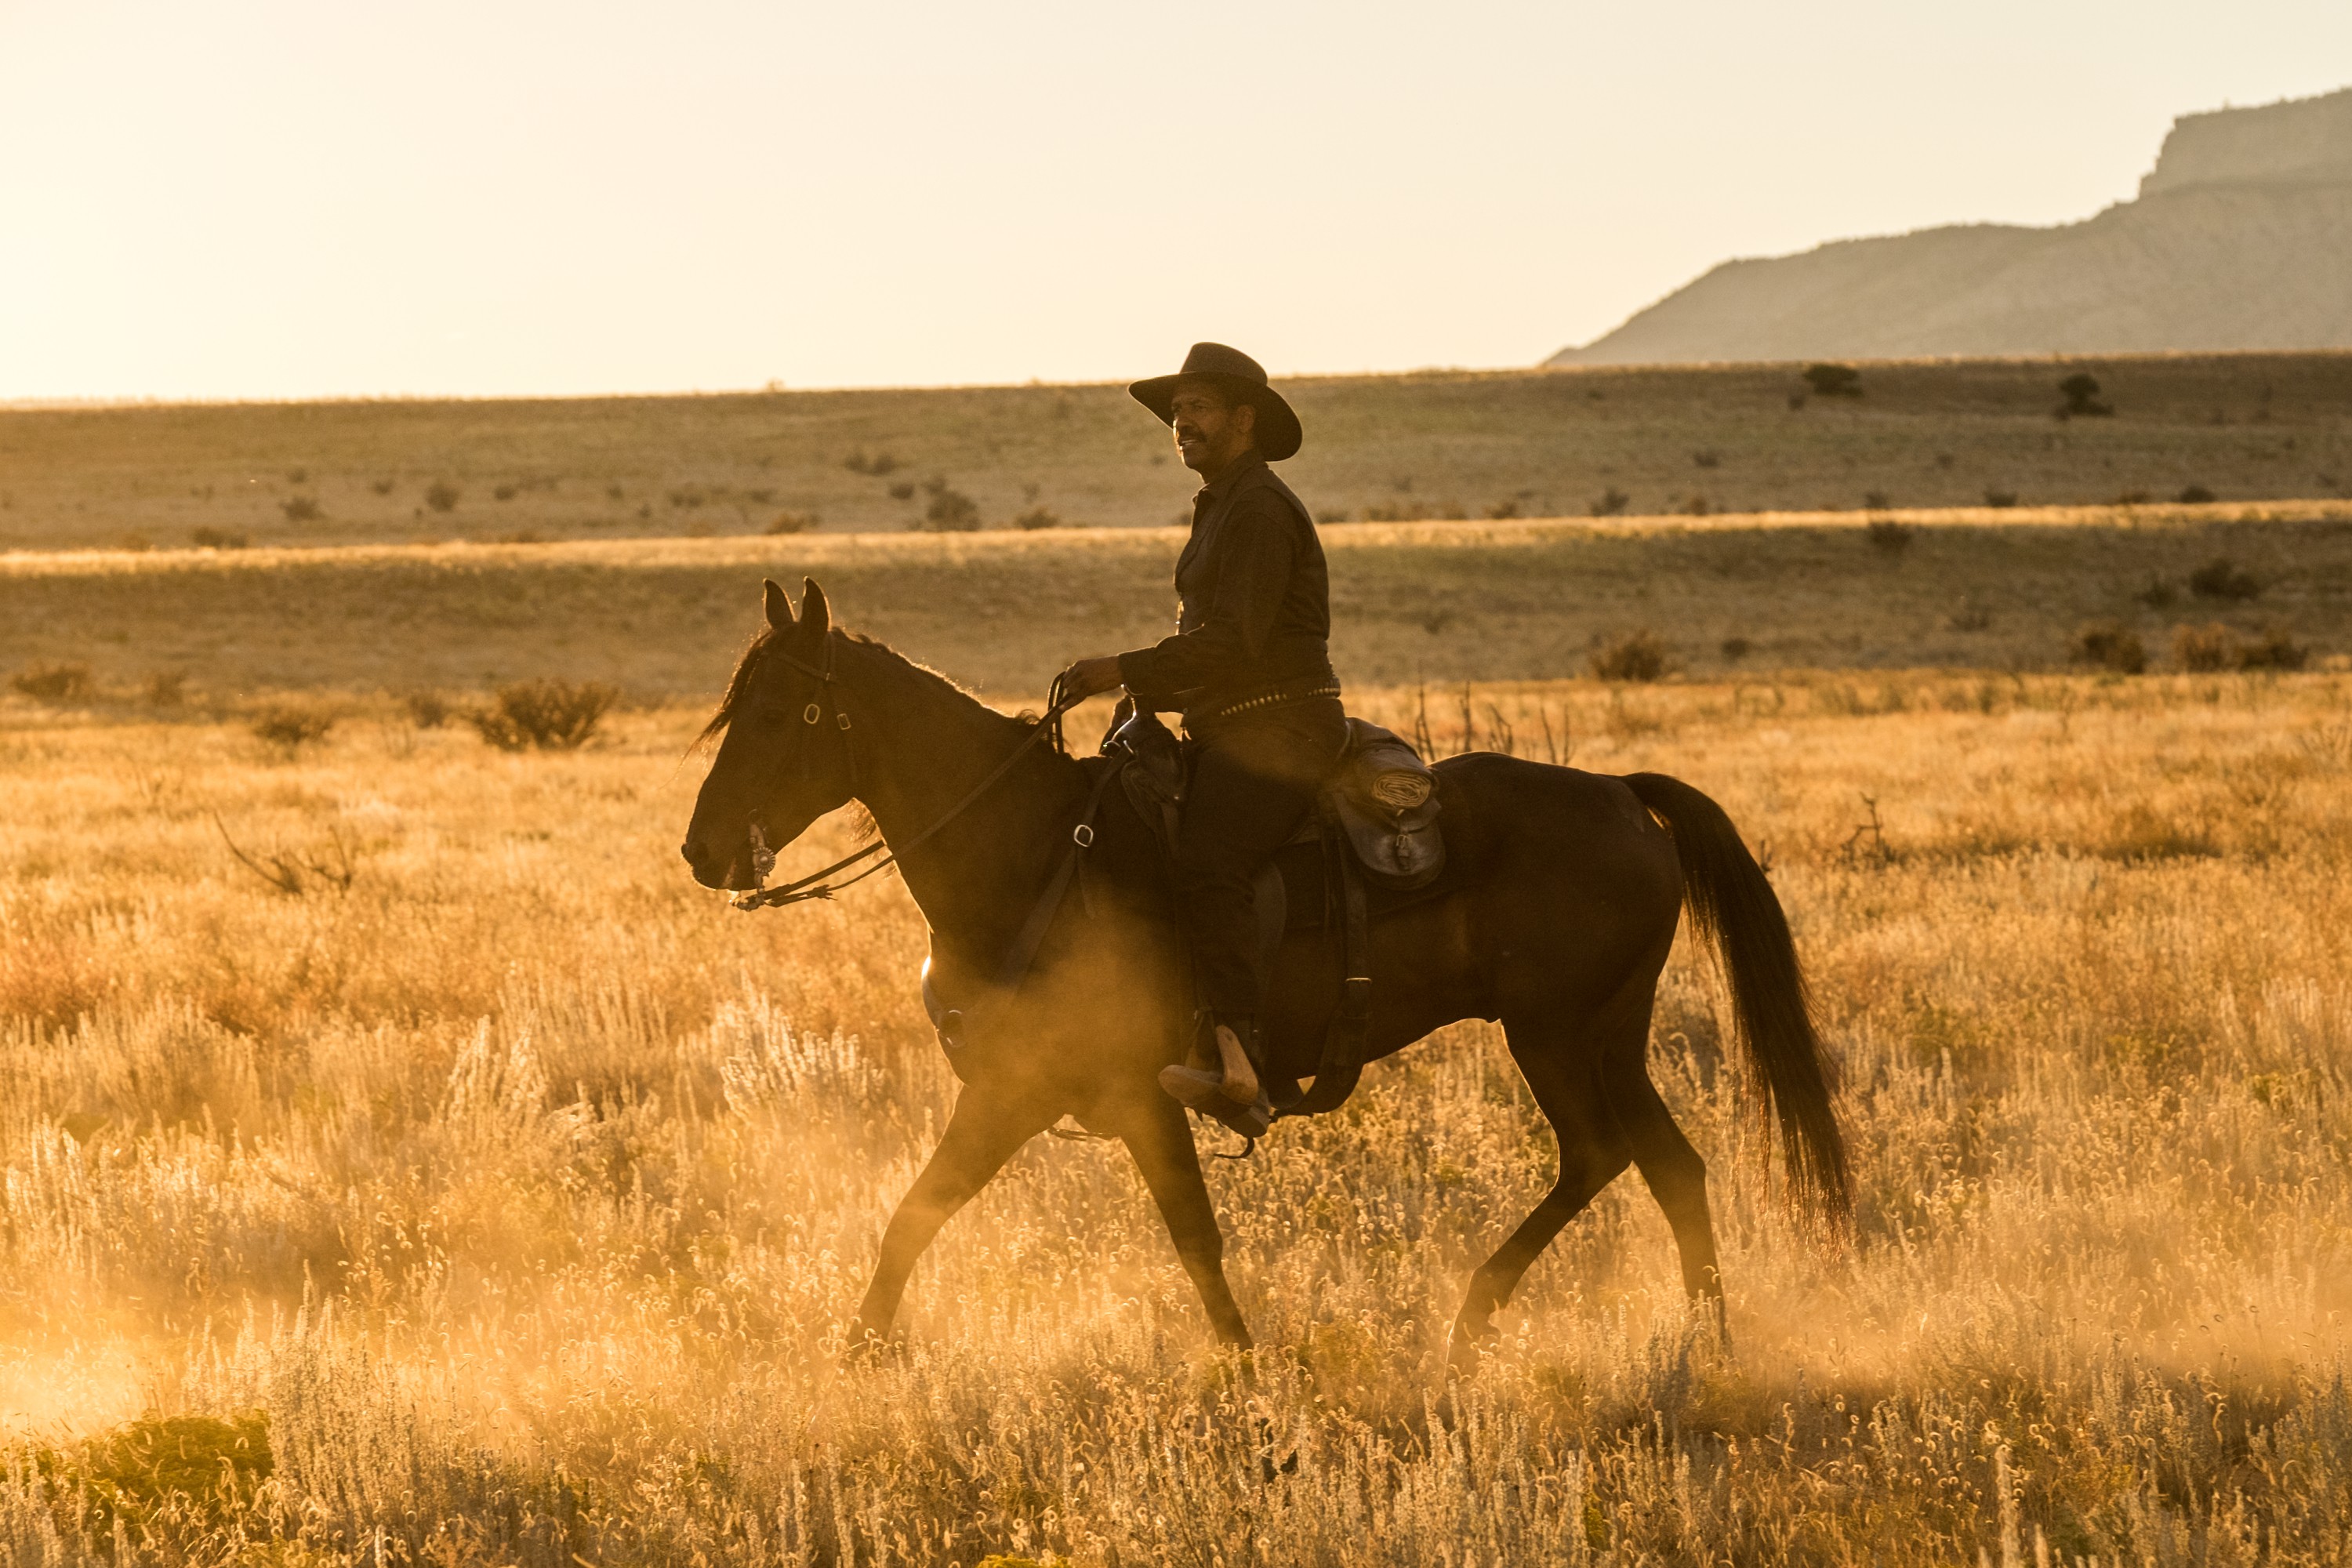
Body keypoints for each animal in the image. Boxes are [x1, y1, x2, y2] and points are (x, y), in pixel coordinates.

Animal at [673, 583, 1844, 1363]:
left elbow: (1115, 1231)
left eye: (778, 715)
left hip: (1557, 1034)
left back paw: (1477, 1317)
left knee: (1602, 1155)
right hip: (1607, 1036)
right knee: (1670, 1166)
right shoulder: (1069, 1098)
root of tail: (1621, 793)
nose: (702, 850)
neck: (1034, 851)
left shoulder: (1067, 1093)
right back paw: (1703, 1346)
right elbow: (958, 1219)